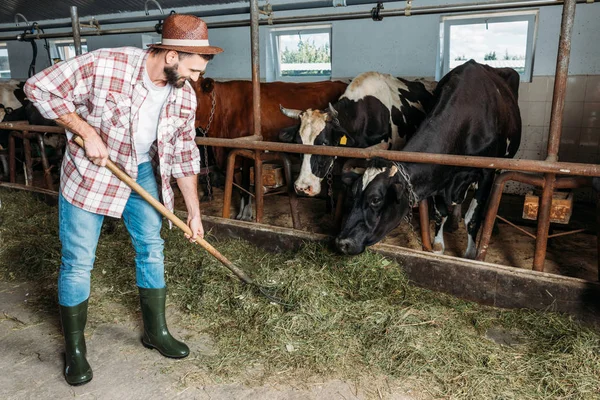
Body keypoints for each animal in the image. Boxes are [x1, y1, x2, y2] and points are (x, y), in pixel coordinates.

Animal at [336, 60, 524, 258]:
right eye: (353, 194)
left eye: (375, 199)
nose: (343, 242)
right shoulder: (440, 172)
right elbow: (440, 213)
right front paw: (438, 247)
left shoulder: (486, 171)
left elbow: (472, 217)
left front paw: (470, 254)